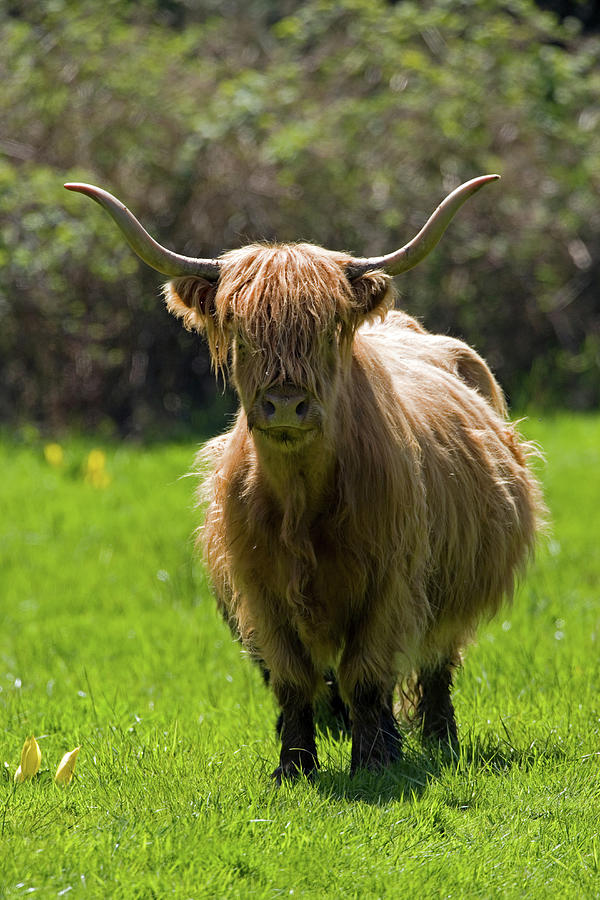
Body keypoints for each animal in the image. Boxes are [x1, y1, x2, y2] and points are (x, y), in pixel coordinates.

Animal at [65, 176, 544, 780]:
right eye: (241, 331)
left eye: (326, 328)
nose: (286, 404)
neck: (300, 501)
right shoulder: (261, 590)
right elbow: (294, 679)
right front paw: (294, 765)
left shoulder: (389, 583)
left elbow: (367, 674)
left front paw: (374, 760)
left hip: (455, 586)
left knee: (437, 659)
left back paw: (440, 737)